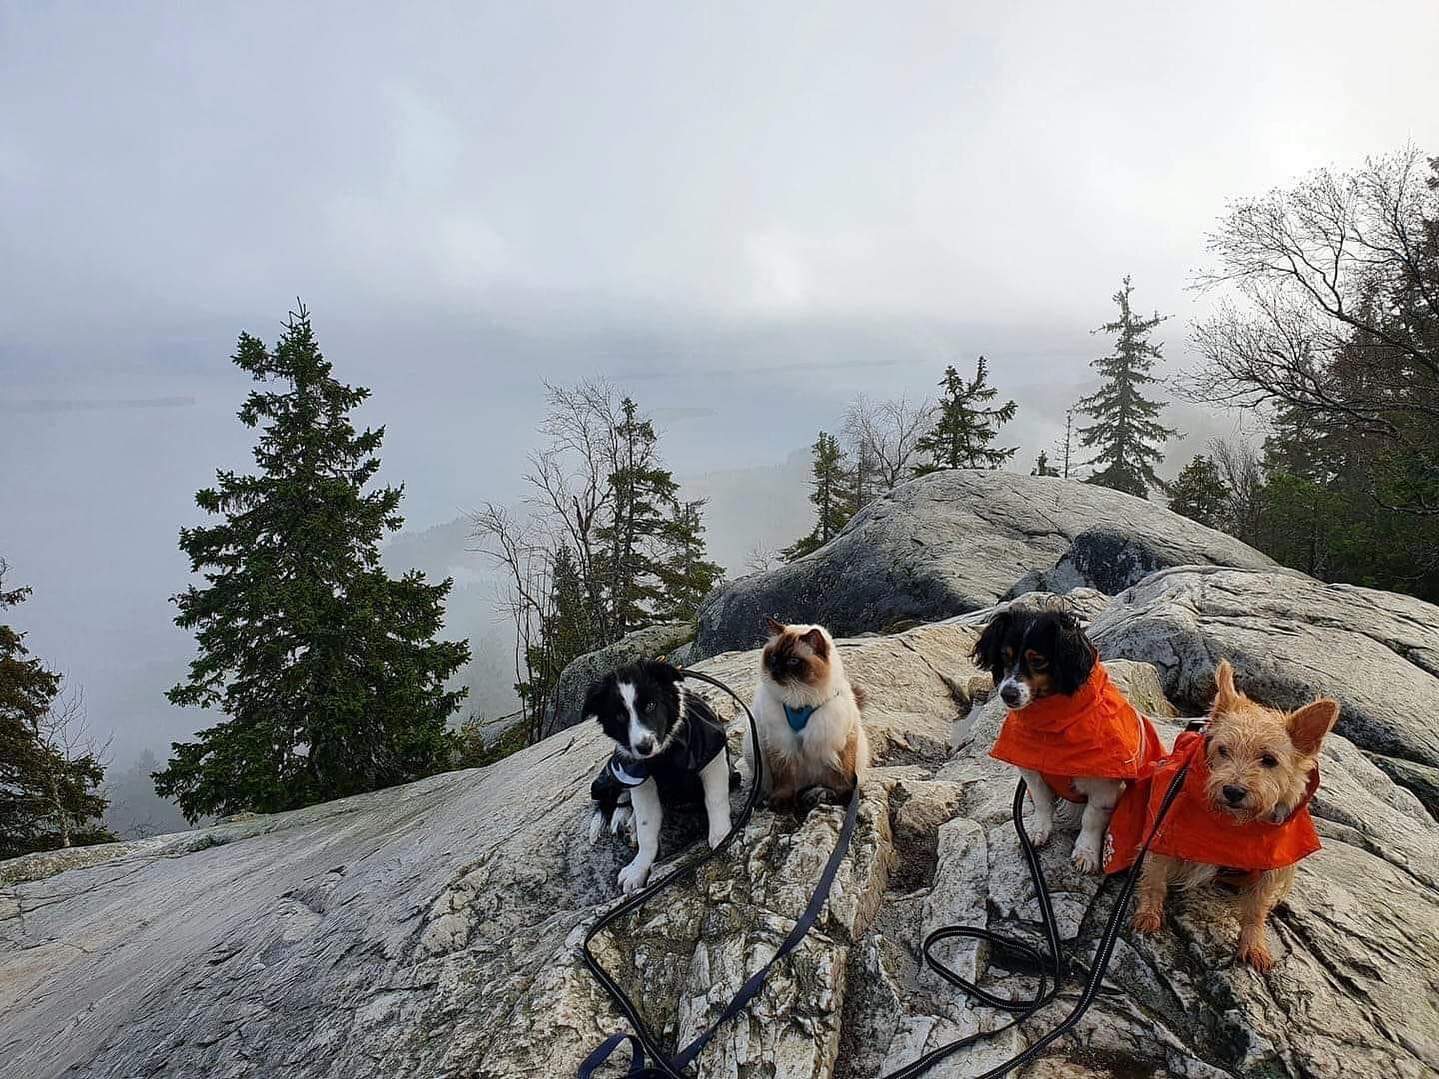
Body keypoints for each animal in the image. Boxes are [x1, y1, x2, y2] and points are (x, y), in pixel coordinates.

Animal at [581, 658, 731, 897]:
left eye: (651, 705)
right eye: (620, 716)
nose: (644, 747)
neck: (665, 754)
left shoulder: (710, 753)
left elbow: (715, 798)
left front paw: (721, 834)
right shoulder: (639, 775)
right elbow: (646, 825)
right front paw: (638, 868)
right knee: (623, 797)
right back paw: (625, 819)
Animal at [972, 612, 1162, 874]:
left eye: (1038, 660)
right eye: (1005, 656)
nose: (1007, 694)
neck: (1054, 727)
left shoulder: (1104, 787)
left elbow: (1091, 819)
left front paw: (1086, 853)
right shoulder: (1033, 773)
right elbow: (1043, 803)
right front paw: (1036, 832)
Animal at [1122, 664, 1335, 978]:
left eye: (1269, 760)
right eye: (1223, 750)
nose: (1233, 791)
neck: (1232, 825)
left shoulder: (1273, 866)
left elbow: (1256, 910)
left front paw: (1254, 945)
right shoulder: (1162, 837)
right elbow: (1154, 880)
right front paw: (1148, 914)